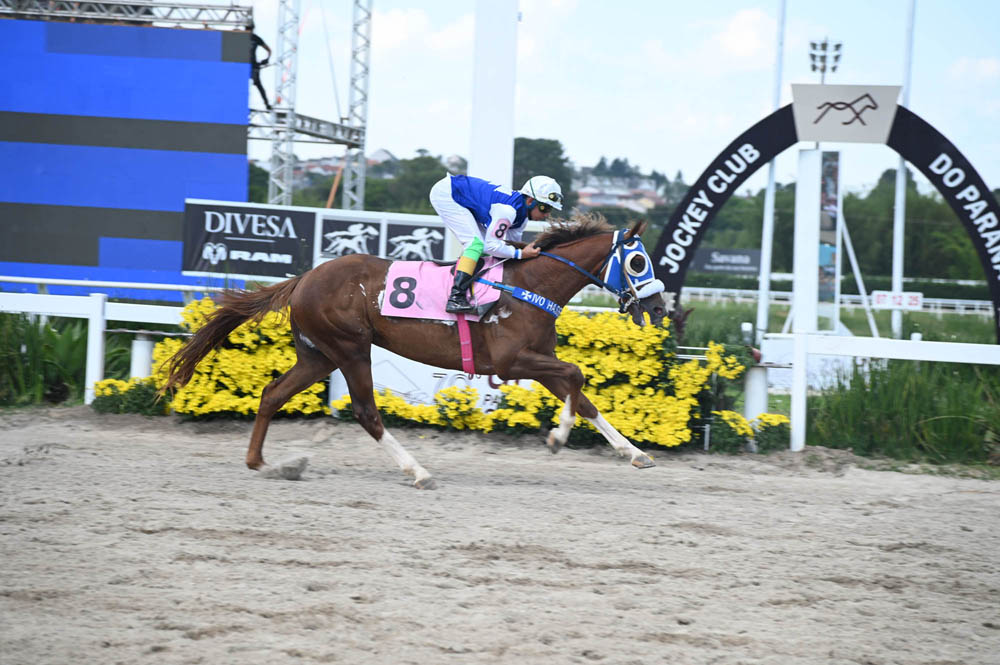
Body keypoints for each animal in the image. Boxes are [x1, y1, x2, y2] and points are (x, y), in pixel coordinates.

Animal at [161, 215, 668, 489]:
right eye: (638, 261)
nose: (661, 308)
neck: (529, 286)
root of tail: (303, 278)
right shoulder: (511, 361)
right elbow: (578, 375)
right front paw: (558, 438)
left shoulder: (537, 363)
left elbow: (583, 399)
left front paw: (634, 453)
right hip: (350, 348)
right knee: (366, 411)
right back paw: (418, 471)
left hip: (318, 355)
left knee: (272, 394)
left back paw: (261, 463)